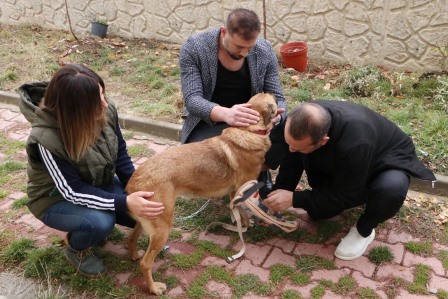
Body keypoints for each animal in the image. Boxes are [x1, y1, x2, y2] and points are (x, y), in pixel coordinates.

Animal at [125, 94, 276, 296]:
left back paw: (134, 255)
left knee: (131, 239)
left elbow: (238, 212)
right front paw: (244, 225)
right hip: (162, 228)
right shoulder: (241, 190)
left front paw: (241, 224)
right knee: (146, 263)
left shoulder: (234, 193)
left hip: (146, 222)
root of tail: (134, 183)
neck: (248, 130)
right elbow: (242, 212)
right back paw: (154, 288)